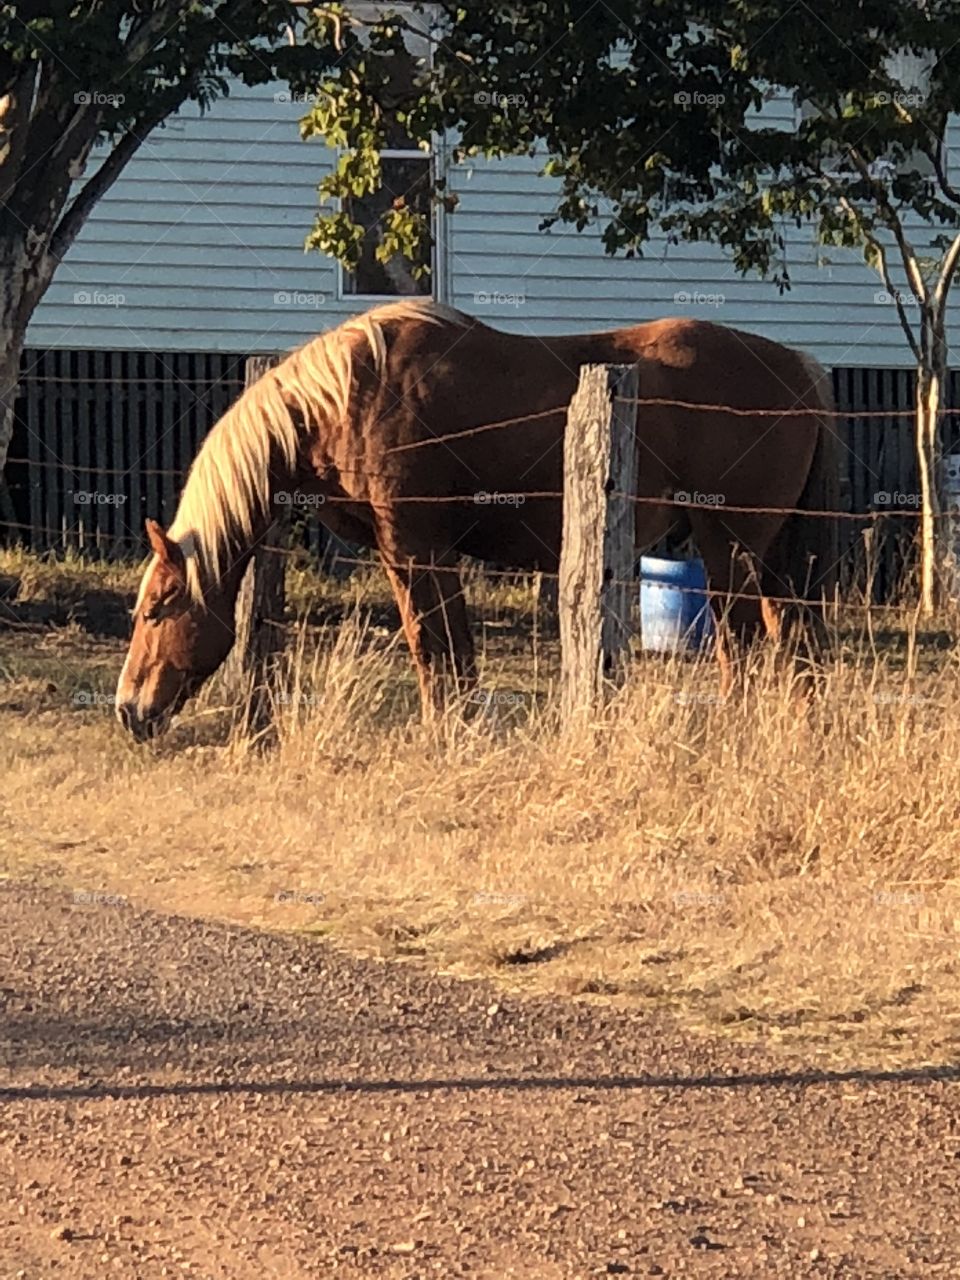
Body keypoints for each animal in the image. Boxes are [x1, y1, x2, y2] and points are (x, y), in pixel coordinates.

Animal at [114, 299, 839, 742]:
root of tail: (799, 366)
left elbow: (431, 646)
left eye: (154, 610)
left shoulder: (413, 547)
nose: (128, 710)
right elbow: (453, 652)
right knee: (795, 649)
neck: (351, 396)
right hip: (771, 561)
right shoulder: (427, 552)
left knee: (744, 652)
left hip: (729, 550)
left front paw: (445, 733)